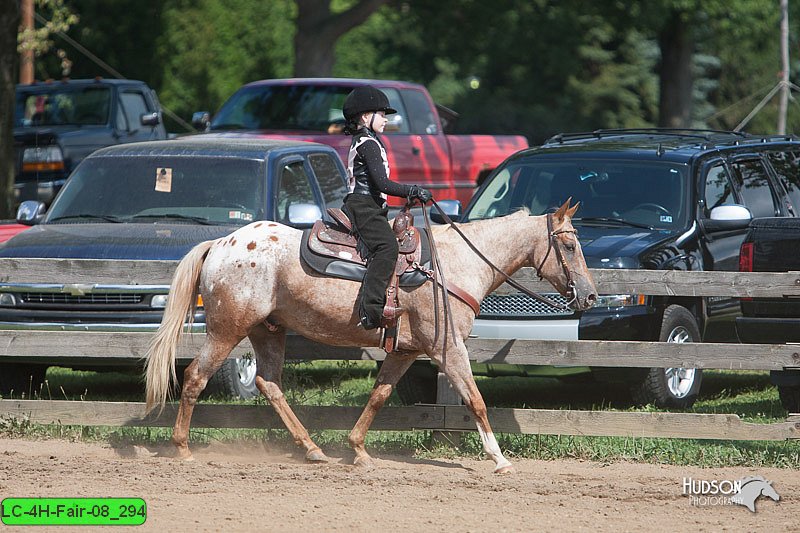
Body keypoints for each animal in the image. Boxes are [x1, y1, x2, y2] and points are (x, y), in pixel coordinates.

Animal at [144, 201, 596, 474]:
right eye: (570, 246)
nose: (590, 295)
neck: (453, 265)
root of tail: (221, 243)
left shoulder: (406, 350)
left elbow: (379, 395)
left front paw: (358, 448)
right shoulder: (448, 348)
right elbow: (475, 400)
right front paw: (499, 459)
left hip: (267, 331)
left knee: (268, 383)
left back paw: (313, 448)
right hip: (227, 330)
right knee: (196, 377)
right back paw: (182, 447)